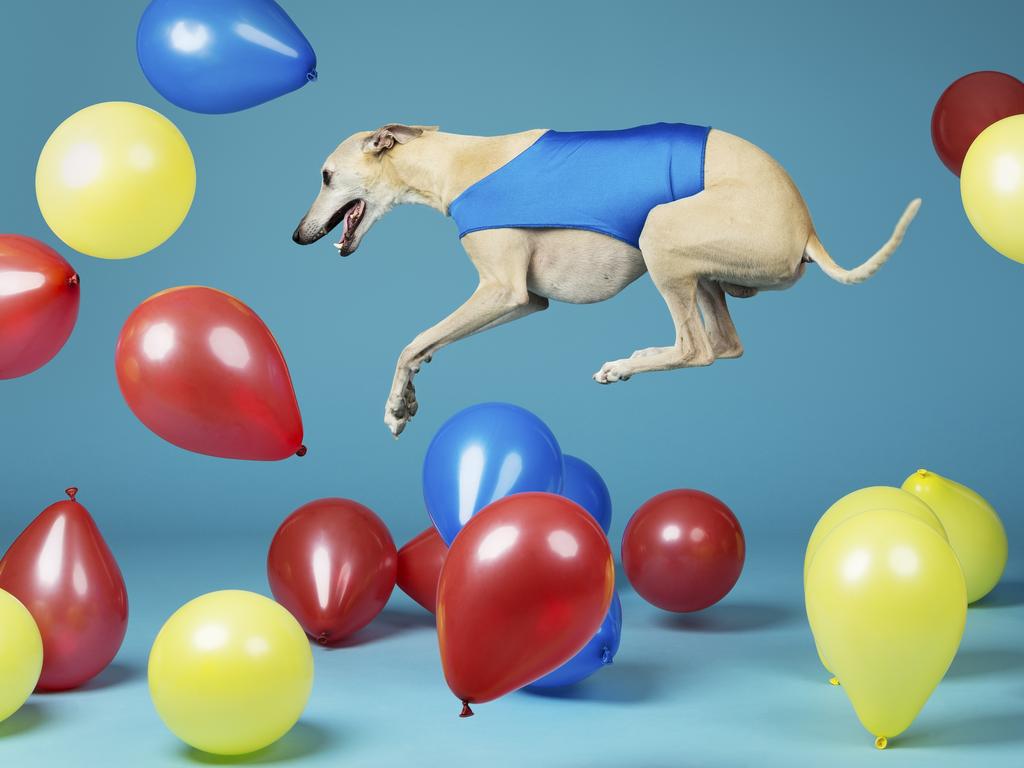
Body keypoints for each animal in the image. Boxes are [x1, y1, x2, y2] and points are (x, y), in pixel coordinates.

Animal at [290, 126, 921, 438]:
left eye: (324, 176)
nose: (297, 236)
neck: (456, 165)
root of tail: (806, 226)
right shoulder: (527, 300)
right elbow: (425, 345)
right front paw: (410, 398)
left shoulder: (502, 291)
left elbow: (410, 342)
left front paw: (396, 406)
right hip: (697, 268)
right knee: (724, 344)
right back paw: (642, 356)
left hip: (660, 231)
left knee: (697, 349)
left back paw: (622, 366)